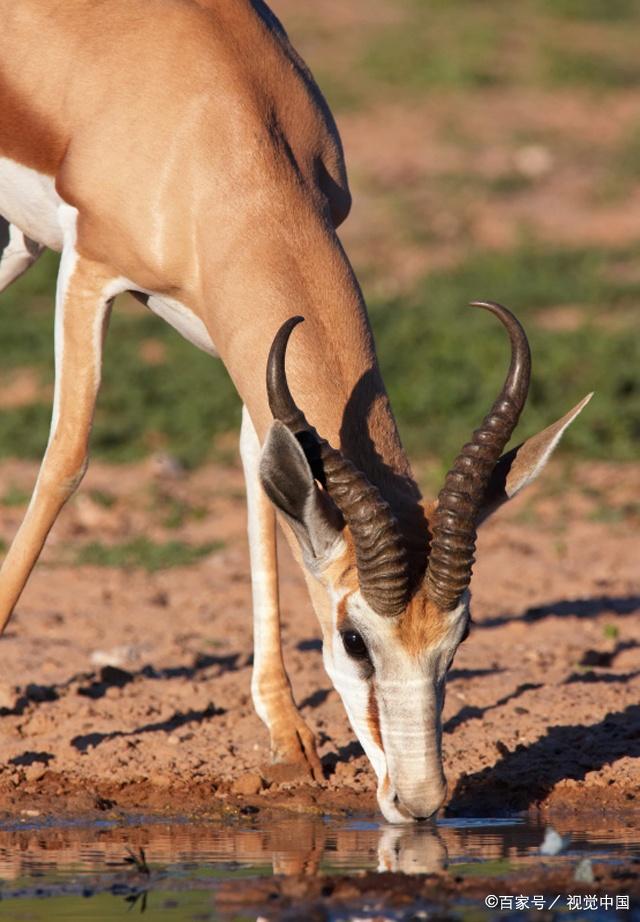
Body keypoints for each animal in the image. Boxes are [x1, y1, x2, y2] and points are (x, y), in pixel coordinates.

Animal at [0, 0, 592, 820]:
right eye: (355, 639)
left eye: (461, 635)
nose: (420, 802)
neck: (219, 126)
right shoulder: (89, 274)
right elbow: (66, 459)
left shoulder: (241, 342)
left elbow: (258, 471)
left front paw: (289, 740)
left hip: (17, 242)